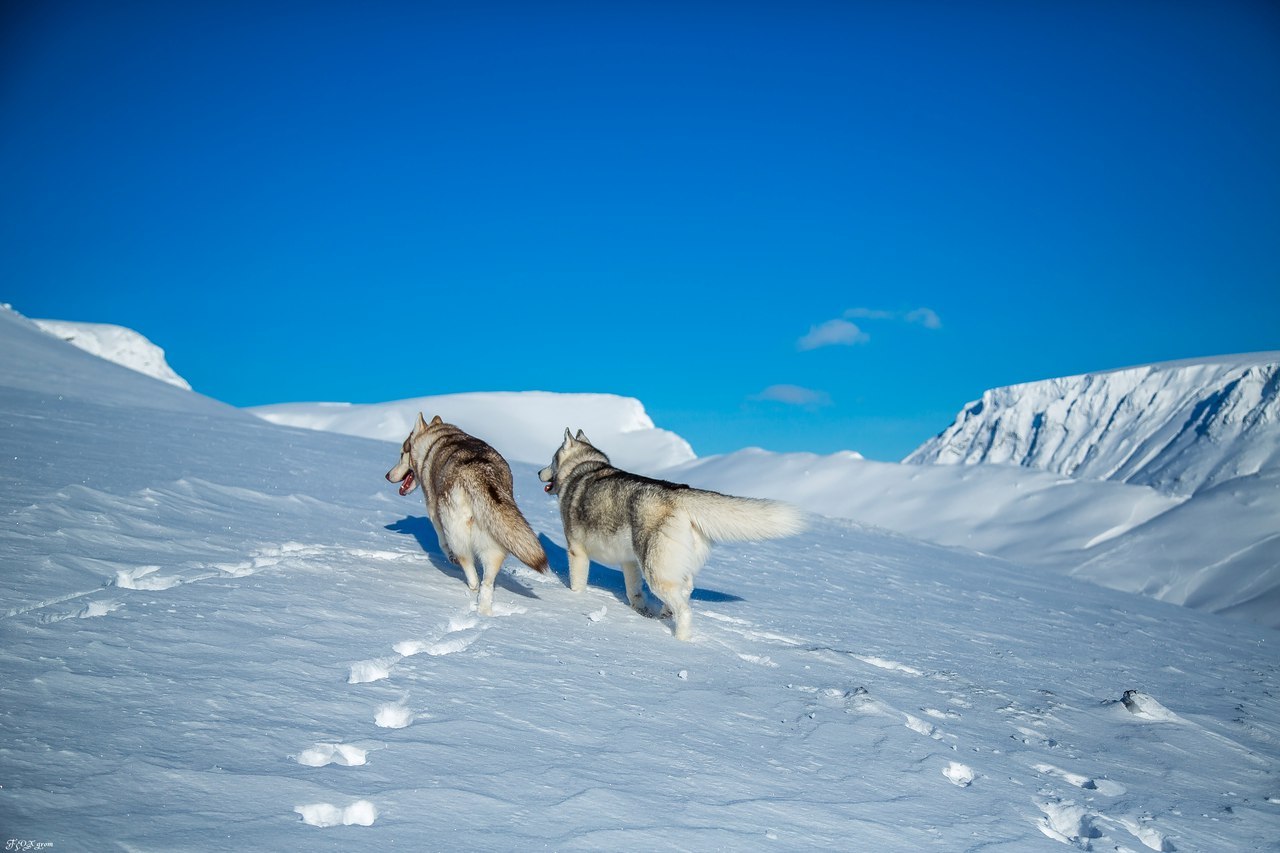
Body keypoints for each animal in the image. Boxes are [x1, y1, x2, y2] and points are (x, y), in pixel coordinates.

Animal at [384, 412, 545, 612]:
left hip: (457, 532)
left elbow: (442, 543)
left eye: (401, 455)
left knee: (470, 569)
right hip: (493, 544)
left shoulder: (434, 513)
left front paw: (450, 557)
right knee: (486, 583)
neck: (432, 442)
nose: (387, 475)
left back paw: (470, 585)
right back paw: (483, 611)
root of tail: (479, 472)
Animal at [537, 425, 798, 637]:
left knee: (685, 609)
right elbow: (634, 593)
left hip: (656, 573)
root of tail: (678, 493)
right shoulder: (629, 562)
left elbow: (577, 585)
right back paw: (664, 615)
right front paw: (641, 612)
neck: (580, 468)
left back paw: (681, 640)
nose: (538, 473)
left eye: (551, 460)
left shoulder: (576, 551)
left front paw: (575, 600)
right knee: (685, 591)